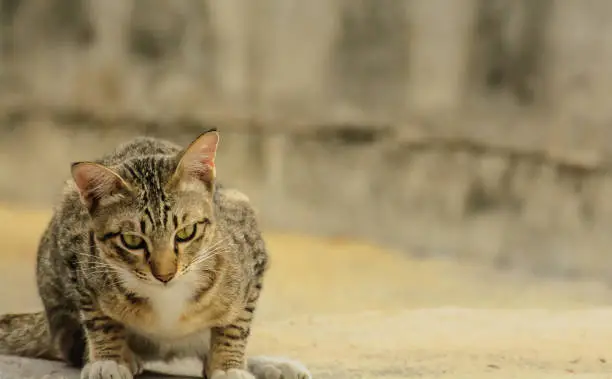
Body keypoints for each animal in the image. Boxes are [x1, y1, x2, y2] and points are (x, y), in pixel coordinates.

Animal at [0, 129, 308, 378]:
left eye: (185, 232)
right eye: (132, 240)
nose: (165, 274)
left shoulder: (250, 244)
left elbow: (236, 323)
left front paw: (229, 366)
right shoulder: (75, 249)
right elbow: (97, 317)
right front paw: (109, 359)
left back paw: (270, 365)